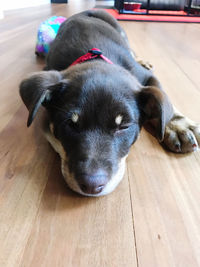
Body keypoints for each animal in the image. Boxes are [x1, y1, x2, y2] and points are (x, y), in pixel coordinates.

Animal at [19, 9, 200, 197]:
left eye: (124, 126)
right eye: (70, 124)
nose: (92, 186)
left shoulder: (146, 77)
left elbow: (163, 99)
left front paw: (178, 126)